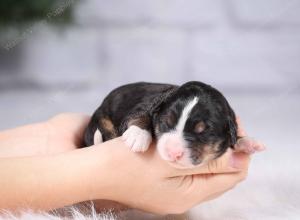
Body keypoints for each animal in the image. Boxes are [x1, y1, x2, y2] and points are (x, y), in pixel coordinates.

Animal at [84, 81, 255, 168]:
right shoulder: (145, 106)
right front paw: (138, 135)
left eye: (202, 132)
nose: (173, 152)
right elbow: (142, 115)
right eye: (166, 122)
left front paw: (246, 142)